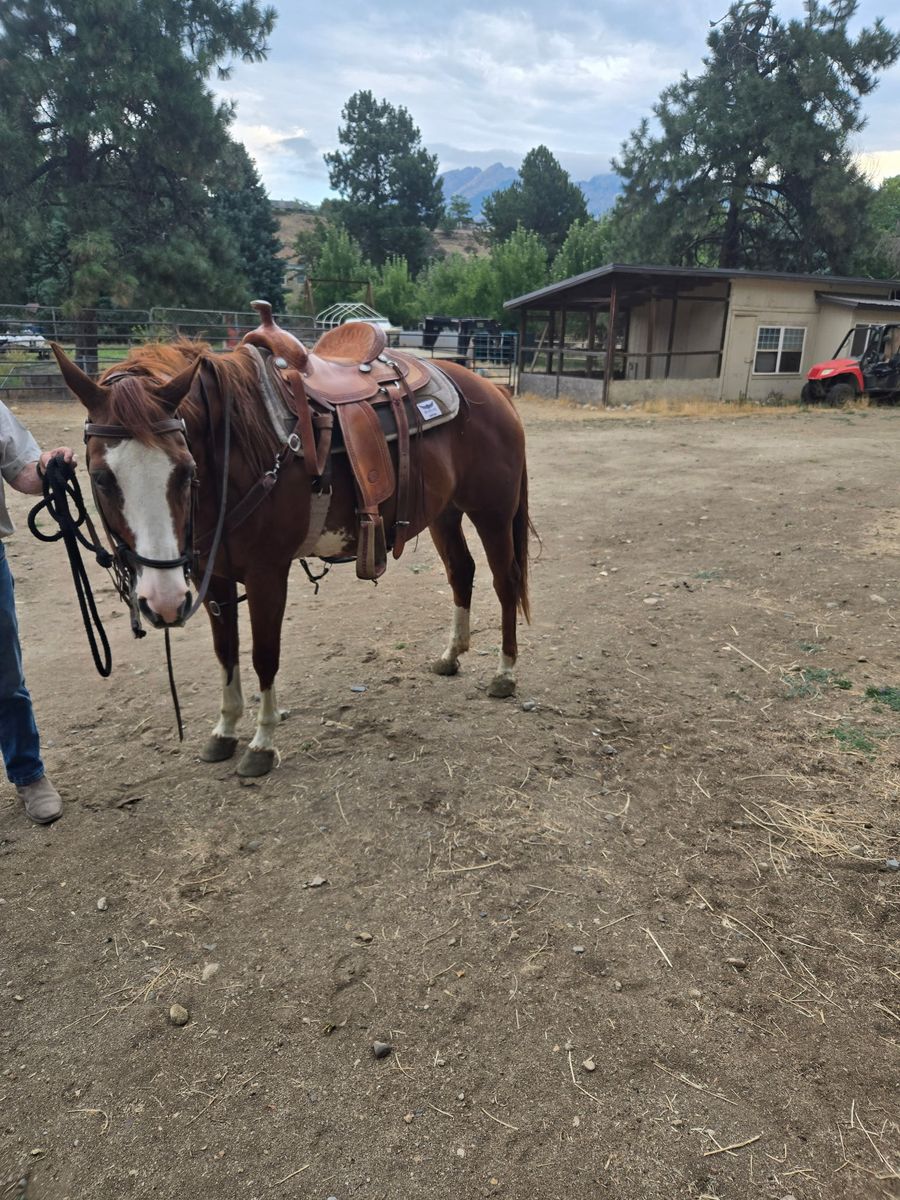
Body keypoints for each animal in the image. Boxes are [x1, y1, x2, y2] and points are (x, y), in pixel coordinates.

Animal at [50, 321, 531, 777]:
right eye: (101, 478)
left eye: (185, 470)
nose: (164, 602)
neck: (236, 451)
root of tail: (494, 391)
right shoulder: (214, 577)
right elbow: (225, 652)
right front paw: (224, 731)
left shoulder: (267, 575)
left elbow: (264, 656)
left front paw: (262, 745)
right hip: (445, 514)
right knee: (461, 572)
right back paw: (451, 655)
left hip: (491, 513)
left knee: (504, 580)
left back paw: (505, 673)